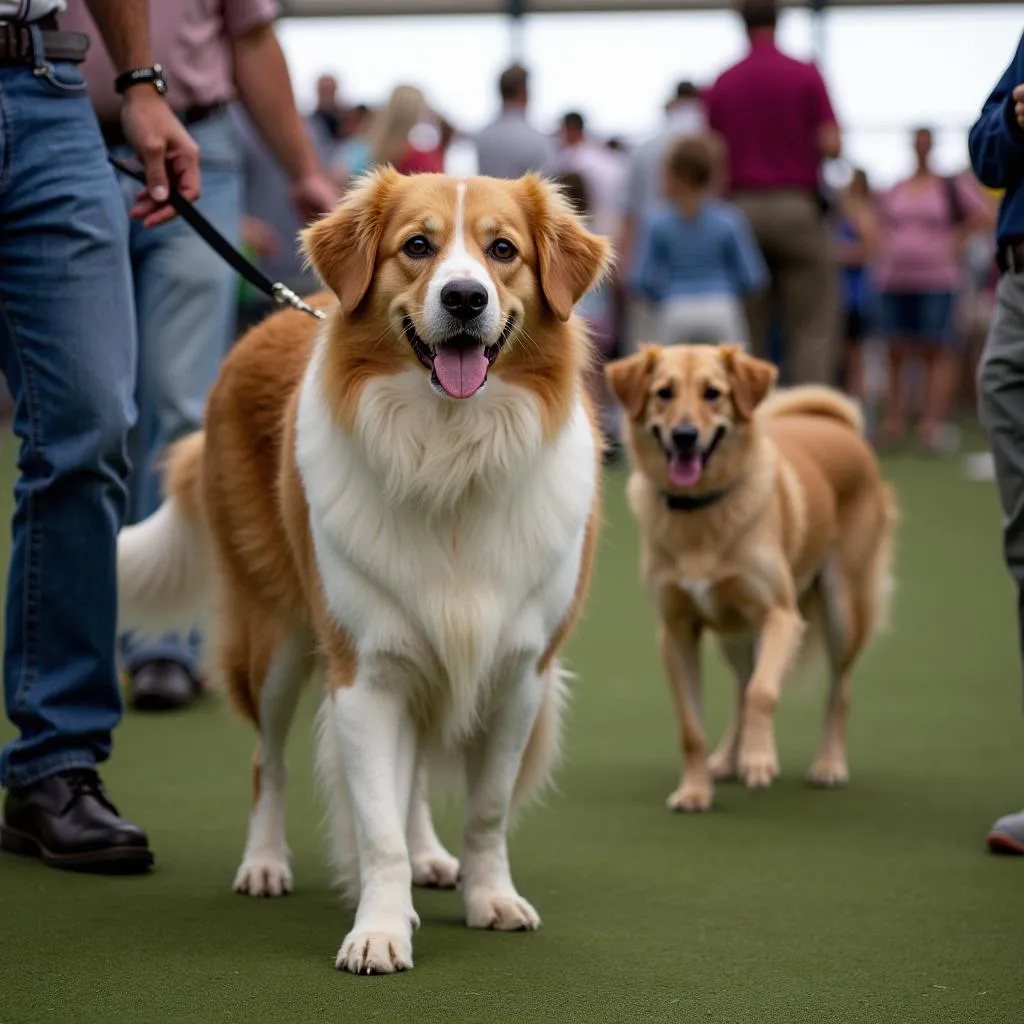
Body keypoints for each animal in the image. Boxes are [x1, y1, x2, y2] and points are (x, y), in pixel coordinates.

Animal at [116, 169, 610, 974]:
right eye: (417, 246)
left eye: (503, 250)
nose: (464, 299)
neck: (450, 451)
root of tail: (274, 318)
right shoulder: (367, 674)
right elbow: (376, 827)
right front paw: (379, 930)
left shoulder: (518, 672)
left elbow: (485, 809)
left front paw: (488, 897)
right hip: (277, 642)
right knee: (268, 762)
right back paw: (265, 864)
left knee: (412, 782)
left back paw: (431, 857)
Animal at [606, 348, 897, 811]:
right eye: (663, 393)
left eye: (713, 393)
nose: (684, 436)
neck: (701, 514)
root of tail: (837, 425)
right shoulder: (677, 632)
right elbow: (693, 727)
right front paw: (695, 790)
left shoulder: (782, 617)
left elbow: (764, 691)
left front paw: (761, 760)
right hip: (734, 632)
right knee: (743, 686)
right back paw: (726, 760)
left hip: (842, 610)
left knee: (838, 689)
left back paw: (828, 764)